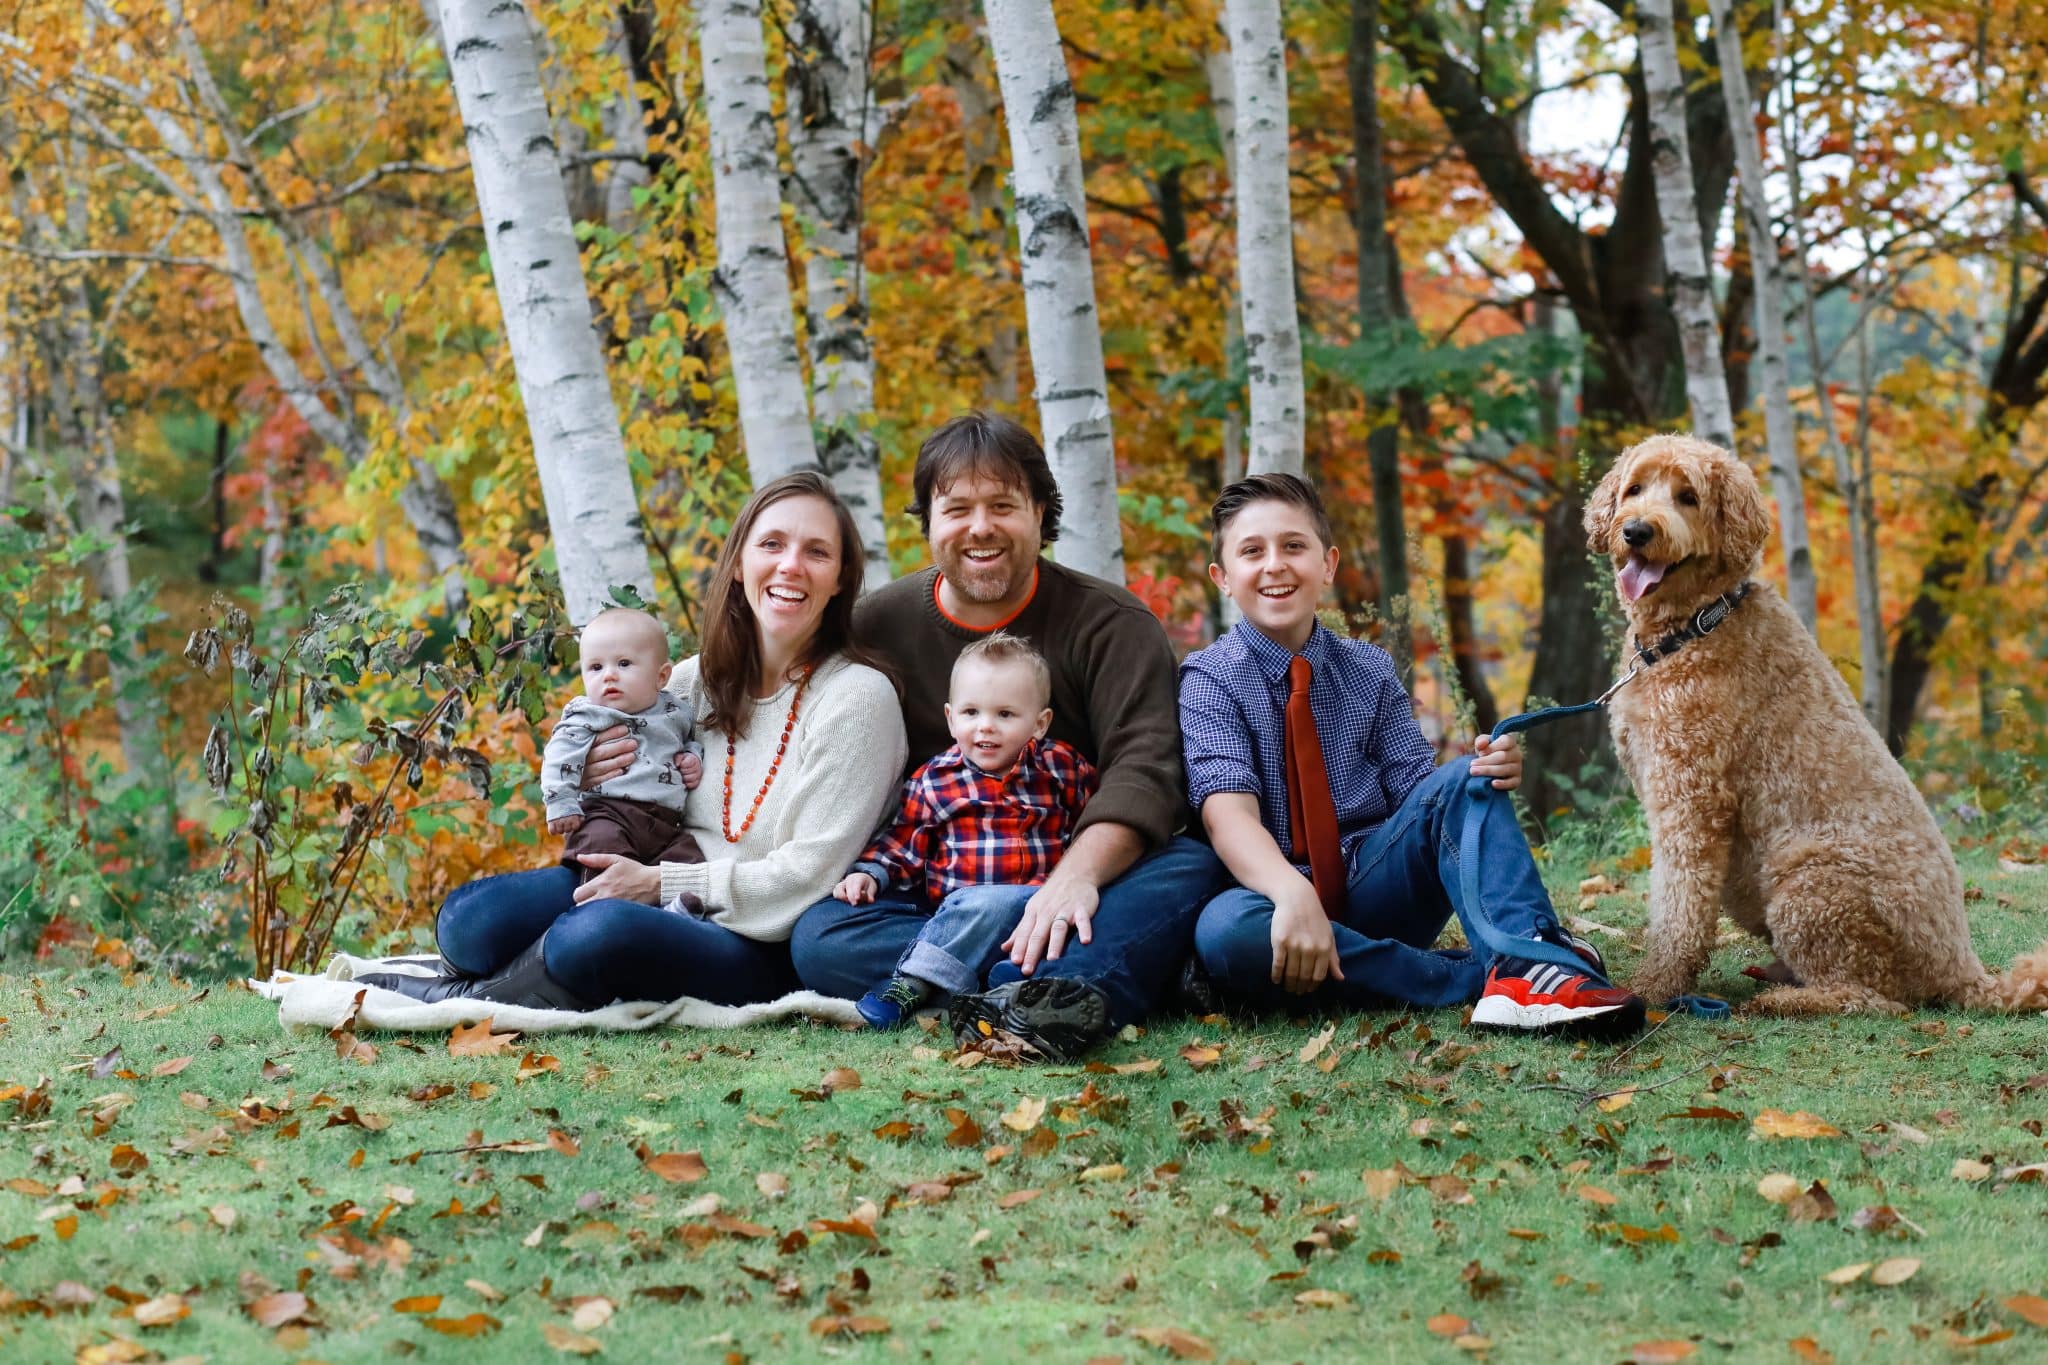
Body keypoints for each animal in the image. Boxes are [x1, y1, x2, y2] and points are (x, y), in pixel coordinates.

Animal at [1581, 435, 2048, 1015]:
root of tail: (1962, 968)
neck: (1695, 628)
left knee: (1872, 999)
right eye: (1635, 489)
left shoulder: (1691, 800)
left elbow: (1679, 904)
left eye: (1688, 496)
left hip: (1807, 877)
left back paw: (1786, 999)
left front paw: (1654, 986)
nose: (1637, 531)